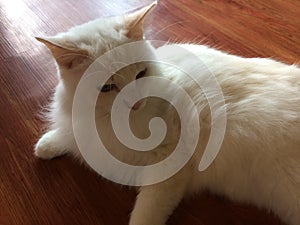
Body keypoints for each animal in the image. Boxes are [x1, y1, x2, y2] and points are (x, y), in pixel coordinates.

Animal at [34, 2, 300, 225]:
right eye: (108, 87)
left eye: (141, 74)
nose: (136, 103)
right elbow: (67, 135)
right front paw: (46, 146)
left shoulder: (167, 169)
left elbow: (145, 213)